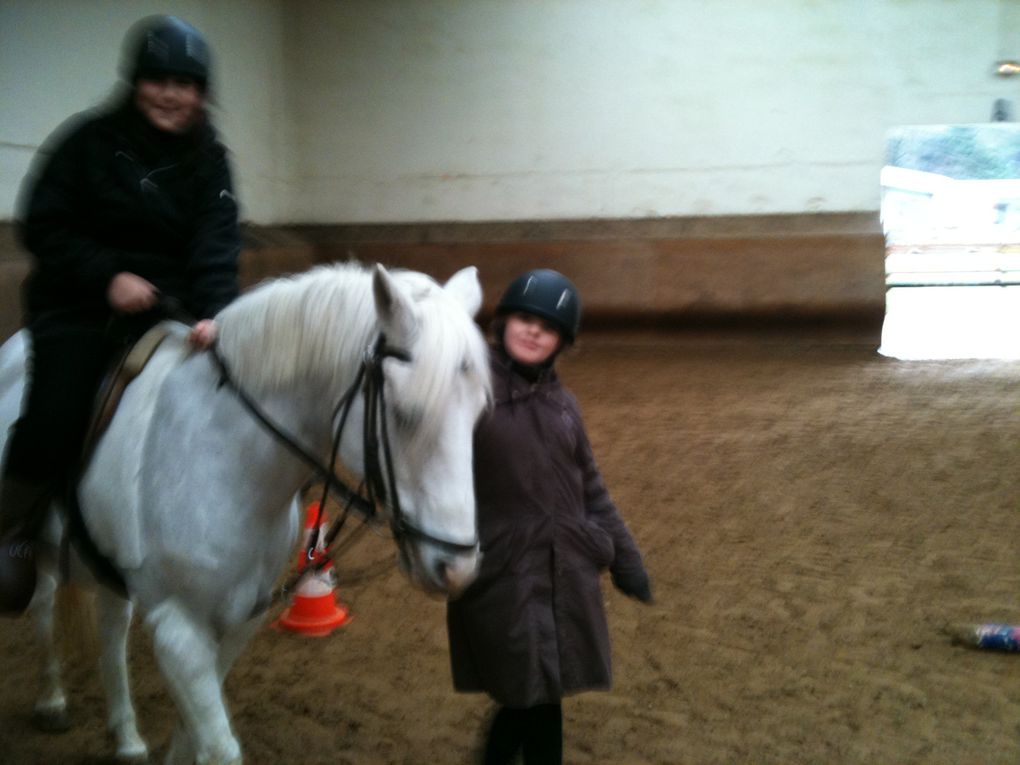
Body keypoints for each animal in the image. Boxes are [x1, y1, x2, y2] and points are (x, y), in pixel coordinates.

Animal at [0, 261, 493, 762]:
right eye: (405, 413)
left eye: (477, 413)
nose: (457, 568)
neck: (225, 464)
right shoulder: (177, 629)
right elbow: (220, 748)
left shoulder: (240, 621)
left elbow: (191, 736)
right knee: (44, 605)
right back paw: (51, 700)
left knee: (111, 630)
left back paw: (127, 739)